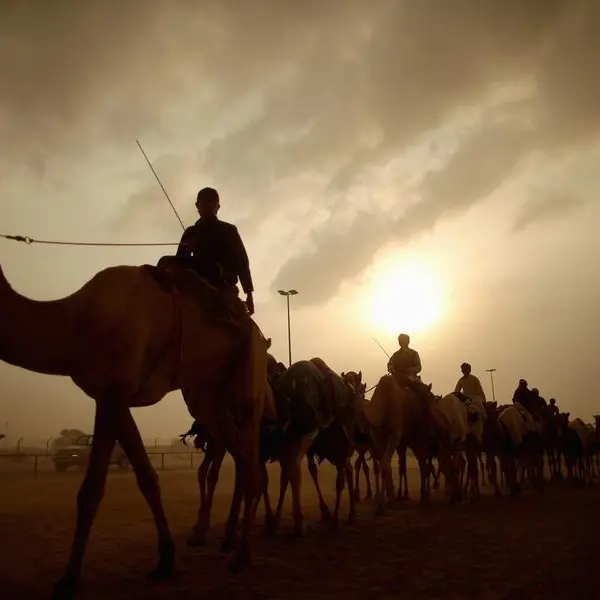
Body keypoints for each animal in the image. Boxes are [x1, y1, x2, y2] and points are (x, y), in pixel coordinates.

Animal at [0, 264, 270, 596]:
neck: (77, 321)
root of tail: (260, 334)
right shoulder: (111, 396)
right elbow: (147, 478)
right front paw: (165, 561)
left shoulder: (113, 390)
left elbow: (90, 491)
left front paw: (68, 579)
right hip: (208, 396)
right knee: (242, 455)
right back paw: (231, 544)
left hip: (250, 377)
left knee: (251, 453)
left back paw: (242, 555)